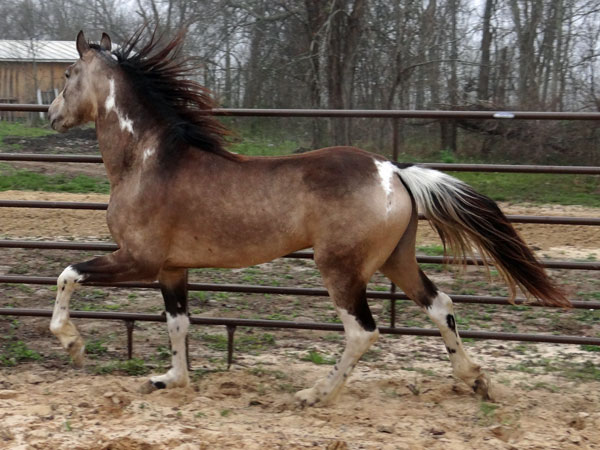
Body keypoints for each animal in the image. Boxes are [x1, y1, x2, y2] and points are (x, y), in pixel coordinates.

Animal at [45, 29, 568, 408]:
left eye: (68, 72)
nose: (50, 114)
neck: (149, 160)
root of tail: (394, 171)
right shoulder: (173, 268)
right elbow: (178, 324)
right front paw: (170, 380)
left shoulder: (139, 259)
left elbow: (68, 274)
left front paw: (73, 344)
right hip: (395, 260)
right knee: (441, 306)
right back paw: (475, 380)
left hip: (340, 268)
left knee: (362, 331)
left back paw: (315, 394)